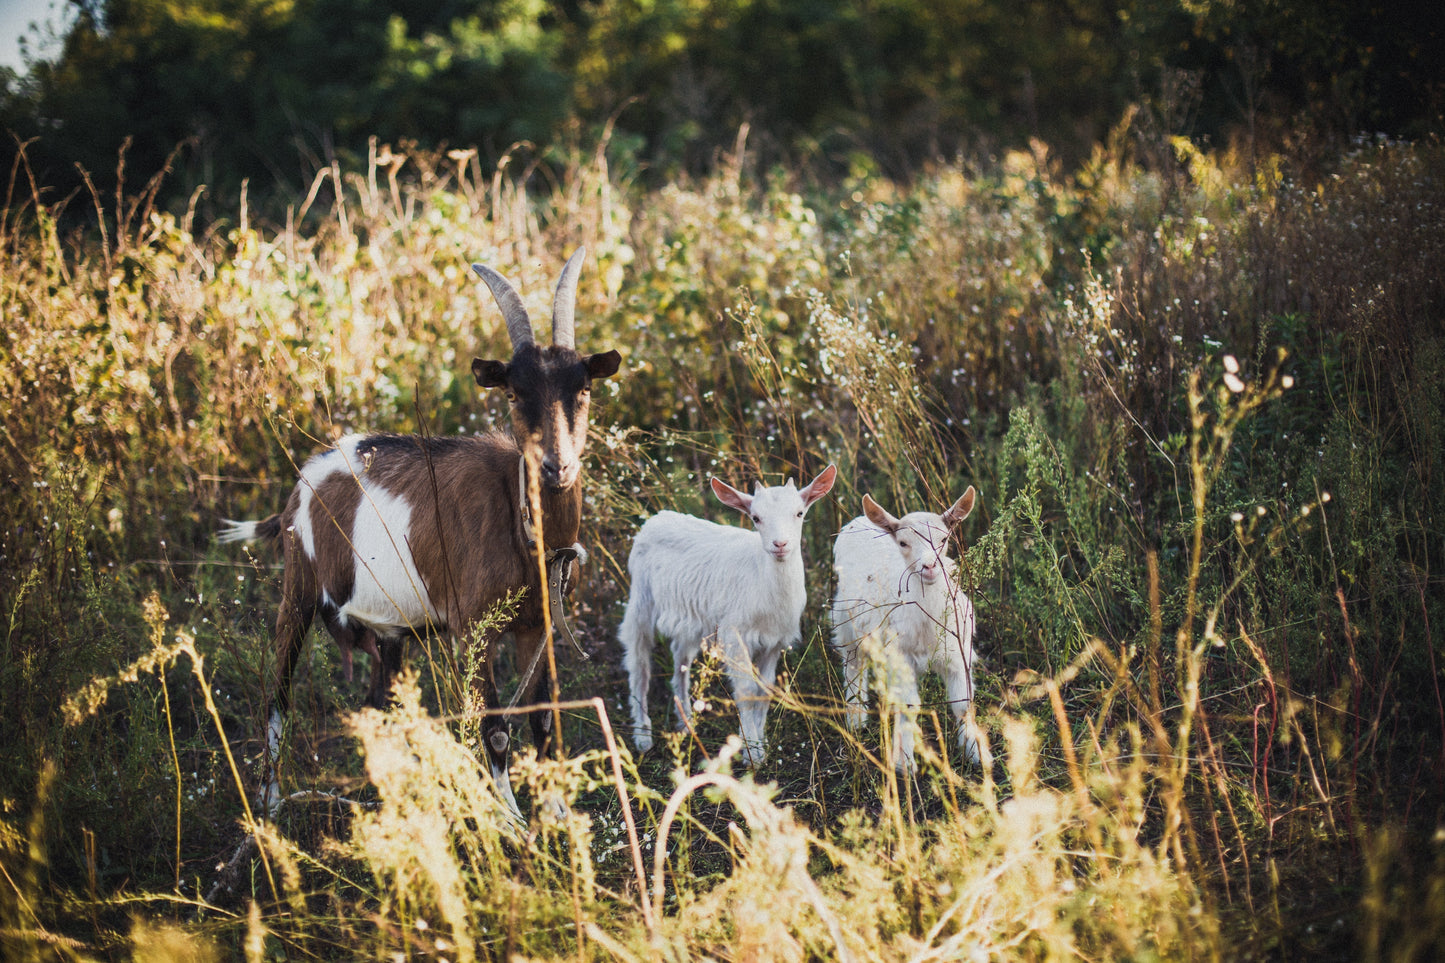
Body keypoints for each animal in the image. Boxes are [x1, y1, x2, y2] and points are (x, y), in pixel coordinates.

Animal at [219, 248, 621, 817]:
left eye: (583, 389)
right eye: (514, 393)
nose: (555, 466)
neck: (518, 523)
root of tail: (303, 481)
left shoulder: (537, 626)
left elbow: (543, 718)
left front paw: (557, 815)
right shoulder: (474, 629)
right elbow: (496, 730)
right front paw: (512, 822)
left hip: (388, 630)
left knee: (376, 706)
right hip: (296, 591)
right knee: (278, 696)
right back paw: (270, 802)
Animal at [619, 465, 837, 765]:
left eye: (799, 513)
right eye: (756, 518)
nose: (779, 544)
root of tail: (656, 518)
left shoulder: (775, 642)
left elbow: (764, 690)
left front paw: (760, 742)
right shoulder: (734, 634)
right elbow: (746, 691)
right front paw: (752, 753)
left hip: (692, 617)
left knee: (680, 655)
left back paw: (686, 721)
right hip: (641, 597)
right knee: (639, 661)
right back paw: (642, 735)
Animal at [829, 487, 981, 773]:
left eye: (944, 538)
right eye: (902, 543)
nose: (929, 567)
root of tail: (858, 520)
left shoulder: (957, 654)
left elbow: (963, 706)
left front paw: (977, 753)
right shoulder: (900, 658)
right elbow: (909, 706)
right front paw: (905, 763)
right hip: (845, 620)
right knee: (853, 665)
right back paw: (856, 719)